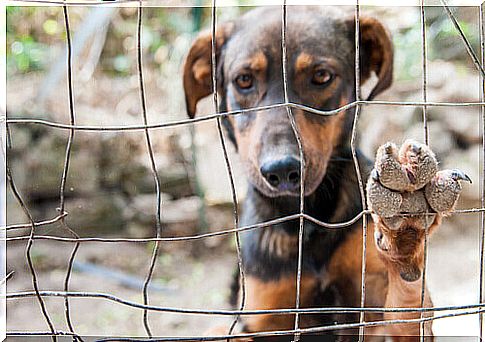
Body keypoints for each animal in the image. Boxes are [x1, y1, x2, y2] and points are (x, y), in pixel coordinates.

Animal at [182, 5, 468, 340]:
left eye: (321, 76)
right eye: (243, 80)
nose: (282, 171)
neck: (306, 220)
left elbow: (405, 307)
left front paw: (405, 227)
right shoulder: (263, 315)